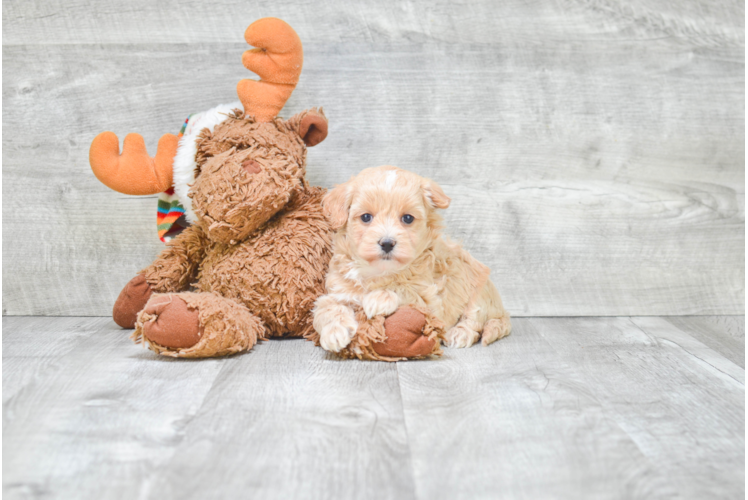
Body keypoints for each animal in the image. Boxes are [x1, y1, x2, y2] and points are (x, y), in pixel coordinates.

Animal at [312, 166, 512, 354]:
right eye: (366, 217)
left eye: (407, 218)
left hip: (480, 291)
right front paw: (334, 332)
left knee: (474, 320)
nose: (387, 243)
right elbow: (326, 307)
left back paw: (459, 333)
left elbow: (404, 288)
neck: (379, 271)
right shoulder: (339, 290)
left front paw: (378, 298)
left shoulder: (432, 301)